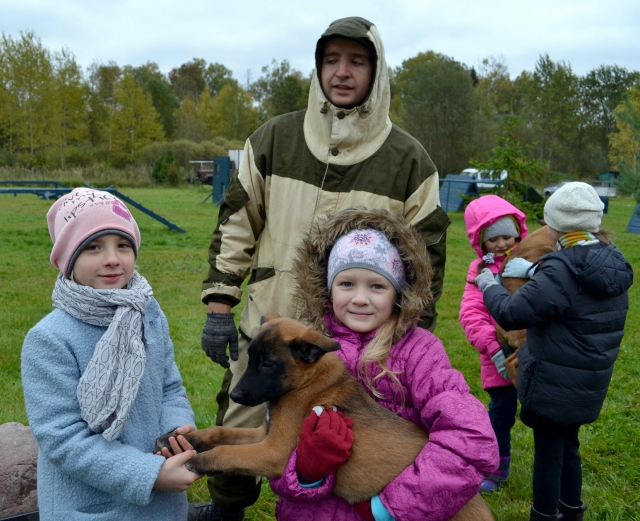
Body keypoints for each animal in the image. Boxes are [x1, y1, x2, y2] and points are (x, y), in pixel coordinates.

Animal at [156, 314, 496, 516]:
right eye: (250, 358)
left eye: (267, 364)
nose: (236, 395)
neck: (307, 383)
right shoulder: (264, 434)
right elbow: (222, 434)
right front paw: (187, 438)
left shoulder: (274, 451)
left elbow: (225, 451)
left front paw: (194, 461)